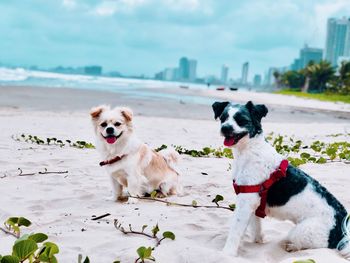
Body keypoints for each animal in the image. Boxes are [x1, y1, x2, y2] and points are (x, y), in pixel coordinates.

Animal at [212, 101, 348, 260]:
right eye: (223, 118)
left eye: (242, 120)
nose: (225, 128)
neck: (250, 150)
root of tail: (342, 229)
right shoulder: (252, 202)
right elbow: (256, 228)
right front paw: (258, 241)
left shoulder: (246, 201)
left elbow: (235, 232)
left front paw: (227, 254)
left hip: (301, 231)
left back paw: (291, 247)